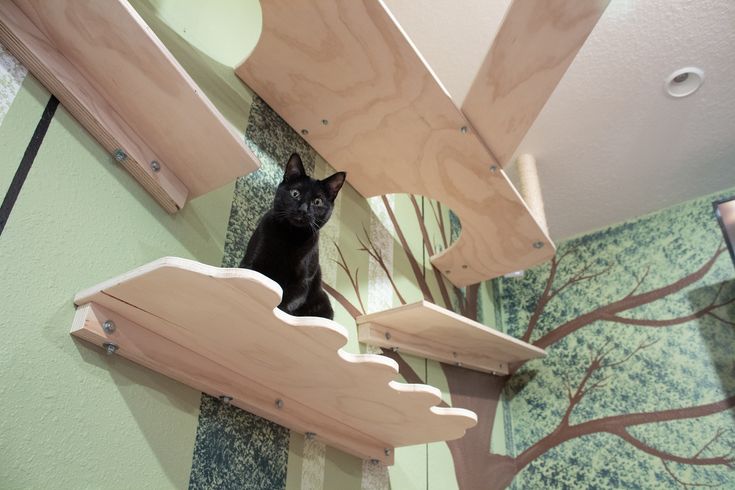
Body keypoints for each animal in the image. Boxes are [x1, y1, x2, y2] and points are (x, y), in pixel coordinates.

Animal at [242, 155, 344, 320]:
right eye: (295, 193)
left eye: (317, 202)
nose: (303, 209)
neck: (290, 236)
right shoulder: (251, 262)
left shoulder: (302, 282)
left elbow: (288, 301)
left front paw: (282, 312)